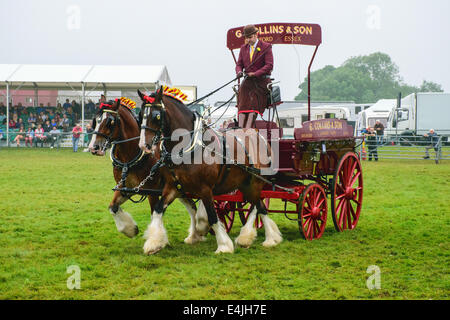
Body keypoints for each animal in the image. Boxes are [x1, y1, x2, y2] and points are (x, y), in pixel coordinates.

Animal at [89, 98, 205, 252]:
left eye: (110, 121)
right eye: (95, 120)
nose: (93, 147)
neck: (131, 156)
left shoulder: (152, 191)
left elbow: (154, 212)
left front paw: (156, 240)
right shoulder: (125, 189)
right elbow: (113, 207)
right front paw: (131, 229)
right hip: (181, 189)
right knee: (192, 208)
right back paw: (195, 236)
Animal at [138, 87, 284, 252]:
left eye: (156, 116)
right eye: (140, 115)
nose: (144, 145)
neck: (191, 146)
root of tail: (259, 135)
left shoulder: (206, 189)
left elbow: (212, 216)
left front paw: (223, 245)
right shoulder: (173, 187)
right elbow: (158, 210)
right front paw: (154, 242)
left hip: (255, 182)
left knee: (260, 208)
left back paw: (270, 239)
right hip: (244, 184)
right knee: (257, 206)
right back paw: (249, 238)